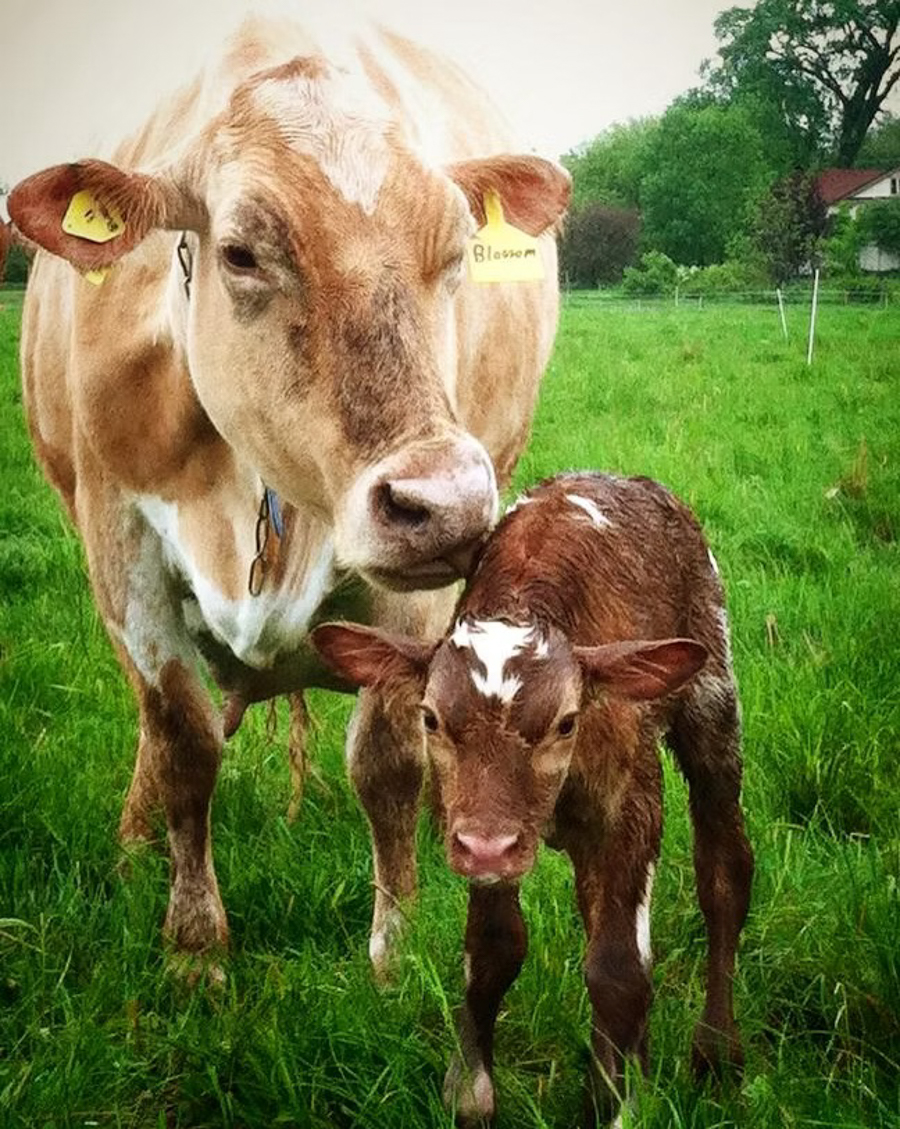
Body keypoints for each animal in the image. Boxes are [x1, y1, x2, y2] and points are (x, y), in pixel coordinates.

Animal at [7, 15, 570, 971]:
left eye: (458, 251)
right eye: (240, 252)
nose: (446, 502)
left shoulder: (408, 587)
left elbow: (387, 756)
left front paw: (395, 953)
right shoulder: (118, 542)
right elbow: (181, 738)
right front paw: (195, 949)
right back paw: (133, 841)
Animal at [313, 472, 755, 1125]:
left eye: (567, 722)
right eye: (431, 718)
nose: (490, 848)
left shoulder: (630, 808)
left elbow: (619, 969)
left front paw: (623, 1108)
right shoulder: (475, 826)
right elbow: (494, 951)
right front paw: (472, 1091)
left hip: (712, 692)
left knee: (724, 876)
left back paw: (716, 1051)